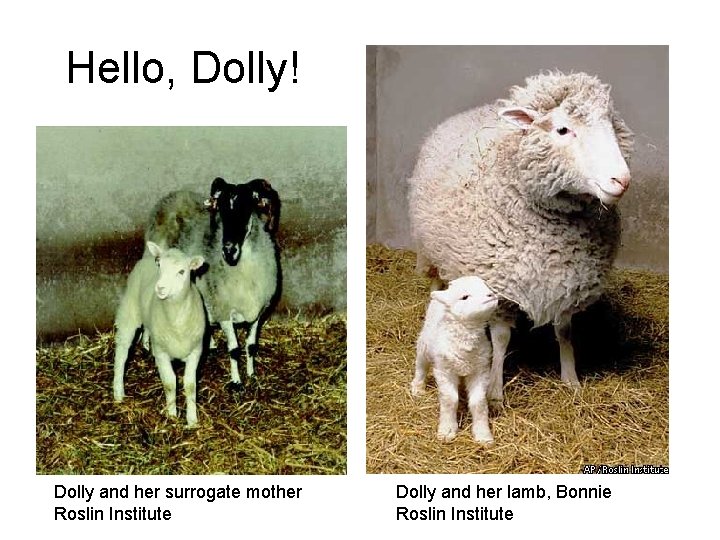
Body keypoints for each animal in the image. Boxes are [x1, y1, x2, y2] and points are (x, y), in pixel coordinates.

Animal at [113, 241, 206, 427]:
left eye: (182, 271)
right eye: (160, 266)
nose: (160, 288)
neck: (176, 320)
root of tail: (148, 258)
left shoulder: (196, 351)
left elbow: (191, 385)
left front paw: (192, 420)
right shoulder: (162, 352)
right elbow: (170, 383)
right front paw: (172, 415)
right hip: (129, 310)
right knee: (122, 353)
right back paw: (118, 393)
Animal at [145, 177, 280, 390]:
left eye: (246, 207)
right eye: (222, 210)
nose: (229, 250)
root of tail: (173, 196)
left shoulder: (258, 312)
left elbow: (251, 346)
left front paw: (252, 375)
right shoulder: (223, 310)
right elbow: (234, 349)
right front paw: (236, 381)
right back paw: (145, 345)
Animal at [407, 71, 634, 408]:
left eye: (611, 126)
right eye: (562, 129)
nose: (621, 180)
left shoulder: (569, 280)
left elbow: (564, 331)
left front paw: (571, 379)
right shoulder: (500, 286)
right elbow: (501, 339)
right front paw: (495, 391)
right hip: (429, 248)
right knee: (436, 281)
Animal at [411, 276, 498, 443]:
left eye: (485, 286)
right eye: (464, 297)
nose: (491, 295)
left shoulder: (480, 370)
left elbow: (478, 403)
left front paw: (483, 434)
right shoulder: (444, 370)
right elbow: (449, 399)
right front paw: (447, 430)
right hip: (424, 344)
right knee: (421, 366)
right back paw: (417, 388)